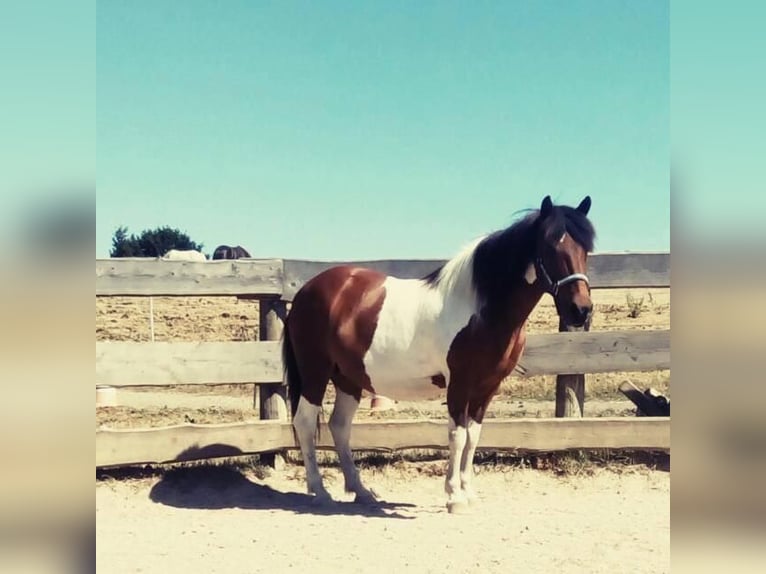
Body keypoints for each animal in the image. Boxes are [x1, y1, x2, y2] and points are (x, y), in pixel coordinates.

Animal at [282, 195, 595, 513]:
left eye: (586, 249)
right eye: (550, 246)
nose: (581, 310)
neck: (481, 311)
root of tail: (307, 291)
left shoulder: (487, 387)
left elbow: (473, 437)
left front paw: (468, 493)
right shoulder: (459, 383)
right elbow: (457, 436)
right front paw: (454, 497)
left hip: (348, 378)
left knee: (340, 426)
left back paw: (361, 491)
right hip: (315, 371)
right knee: (305, 422)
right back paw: (320, 492)